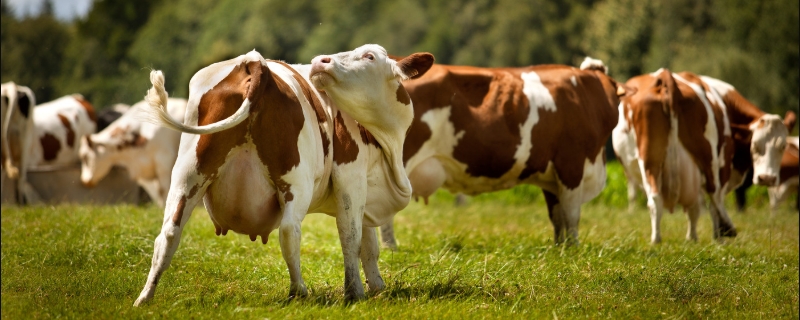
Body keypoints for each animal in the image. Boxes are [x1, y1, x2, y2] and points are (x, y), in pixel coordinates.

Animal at [133, 44, 432, 304]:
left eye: (369, 56)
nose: (320, 61)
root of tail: (254, 62)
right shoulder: (352, 175)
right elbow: (352, 237)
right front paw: (355, 292)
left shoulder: (366, 190)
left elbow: (370, 243)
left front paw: (377, 287)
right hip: (295, 181)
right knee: (289, 231)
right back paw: (299, 291)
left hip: (188, 174)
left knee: (168, 233)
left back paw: (145, 297)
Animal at [378, 56, 620, 248]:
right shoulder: (572, 164)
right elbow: (572, 215)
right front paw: (574, 248)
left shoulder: (552, 176)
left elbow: (557, 216)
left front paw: (561, 247)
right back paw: (392, 248)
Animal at [612, 68, 788, 242]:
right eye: (756, 145)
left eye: (782, 147)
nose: (767, 178)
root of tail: (664, 75)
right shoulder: (723, 164)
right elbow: (710, 202)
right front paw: (714, 235)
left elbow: (694, 207)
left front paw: (692, 238)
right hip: (709, 159)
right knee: (714, 194)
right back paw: (726, 229)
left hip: (650, 160)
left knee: (655, 200)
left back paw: (656, 240)